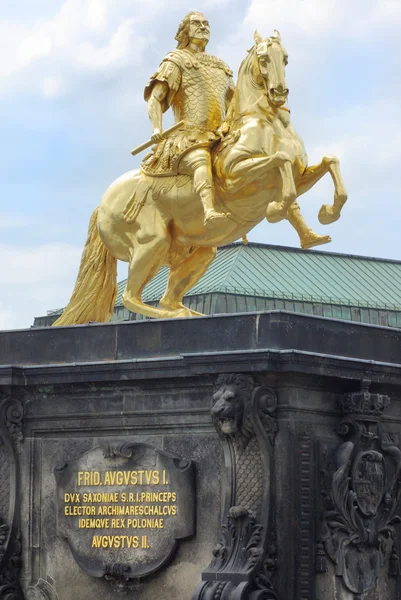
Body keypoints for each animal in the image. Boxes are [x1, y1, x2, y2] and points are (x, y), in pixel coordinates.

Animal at [54, 30, 346, 326]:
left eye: (285, 58)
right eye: (264, 58)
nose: (279, 93)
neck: (266, 123)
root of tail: (101, 205)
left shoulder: (300, 175)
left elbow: (329, 162)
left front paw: (325, 216)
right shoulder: (234, 178)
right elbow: (280, 161)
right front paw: (277, 209)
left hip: (201, 250)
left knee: (167, 297)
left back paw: (188, 312)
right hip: (152, 242)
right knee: (130, 298)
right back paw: (170, 315)